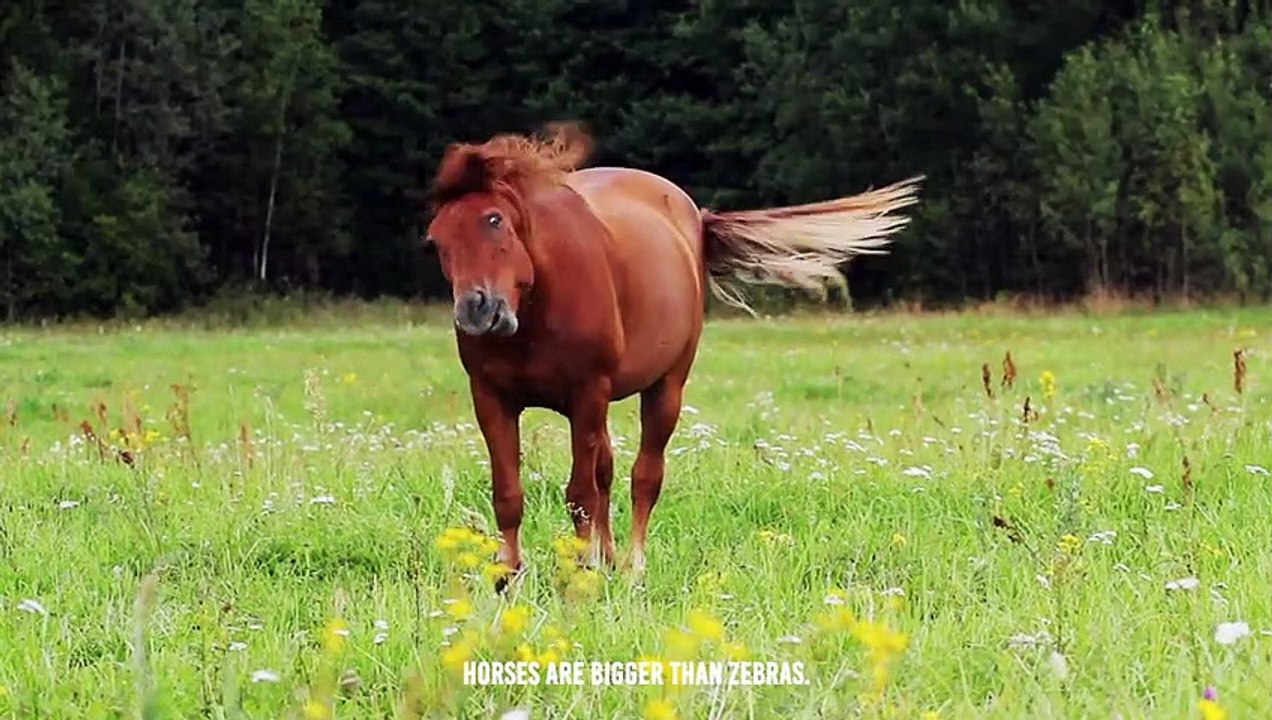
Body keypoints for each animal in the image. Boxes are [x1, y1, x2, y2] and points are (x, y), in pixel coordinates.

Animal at [423, 122, 921, 582]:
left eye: (495, 221)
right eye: (437, 240)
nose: (476, 310)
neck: (538, 307)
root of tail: (695, 216)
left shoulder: (586, 395)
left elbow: (580, 494)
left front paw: (581, 572)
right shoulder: (492, 399)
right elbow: (509, 494)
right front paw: (507, 577)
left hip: (665, 388)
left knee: (644, 475)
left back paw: (633, 567)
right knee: (607, 472)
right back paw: (609, 558)